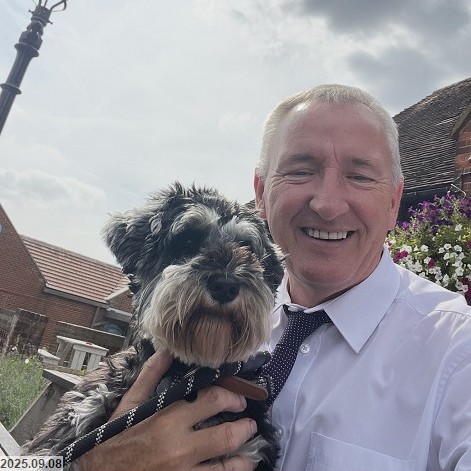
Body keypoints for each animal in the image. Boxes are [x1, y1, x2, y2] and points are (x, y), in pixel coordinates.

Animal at [24, 183, 284, 470]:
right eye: (187, 242)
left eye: (248, 249)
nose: (225, 284)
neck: (186, 375)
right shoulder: (74, 420)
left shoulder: (253, 449)